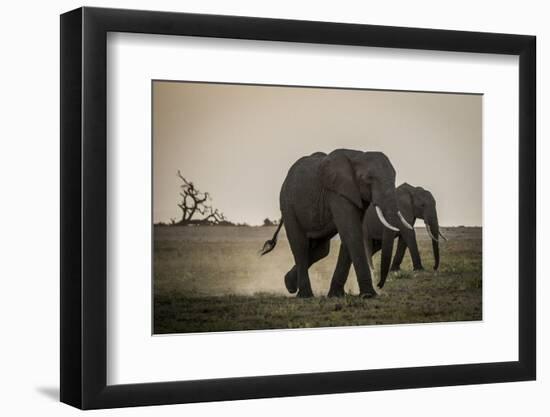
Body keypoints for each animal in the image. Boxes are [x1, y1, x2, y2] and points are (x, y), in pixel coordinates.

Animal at [262, 149, 414, 296]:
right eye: (368, 179)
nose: (379, 285)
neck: (358, 155)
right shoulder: (337, 193)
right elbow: (352, 232)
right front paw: (368, 295)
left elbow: (350, 235)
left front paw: (336, 295)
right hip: (288, 206)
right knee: (300, 246)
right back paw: (305, 295)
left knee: (321, 250)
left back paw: (289, 284)